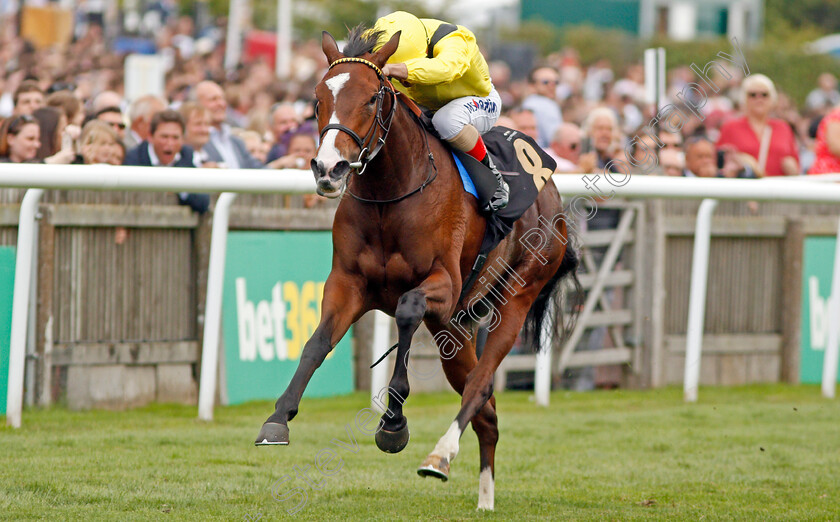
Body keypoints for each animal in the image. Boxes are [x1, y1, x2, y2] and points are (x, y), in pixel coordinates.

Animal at [256, 27, 580, 508]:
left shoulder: (443, 284)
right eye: (316, 98)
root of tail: (553, 197)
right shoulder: (348, 283)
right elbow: (316, 344)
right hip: (455, 329)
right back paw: (484, 498)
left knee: (481, 384)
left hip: (516, 296)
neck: (391, 194)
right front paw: (278, 418)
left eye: (372, 97)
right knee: (487, 413)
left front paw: (393, 423)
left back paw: (439, 456)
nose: (329, 169)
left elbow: (407, 309)